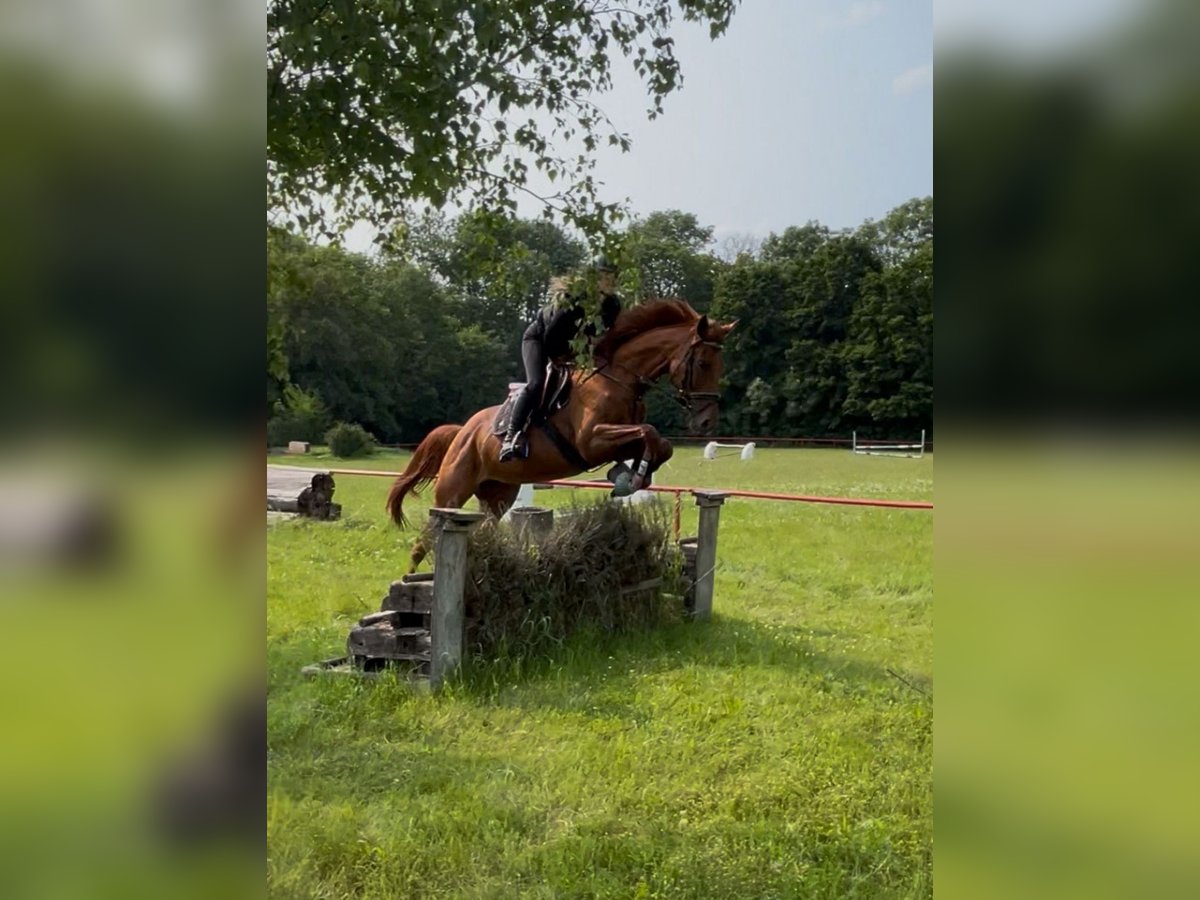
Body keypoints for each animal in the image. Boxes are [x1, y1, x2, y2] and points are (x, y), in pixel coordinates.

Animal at [386, 299, 735, 571]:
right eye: (703, 363)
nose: (707, 423)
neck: (620, 378)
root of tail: (463, 431)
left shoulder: (617, 438)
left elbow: (659, 443)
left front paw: (630, 476)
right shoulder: (591, 441)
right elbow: (649, 434)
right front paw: (631, 478)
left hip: (497, 495)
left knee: (479, 527)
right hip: (452, 491)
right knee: (426, 539)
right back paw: (411, 582)